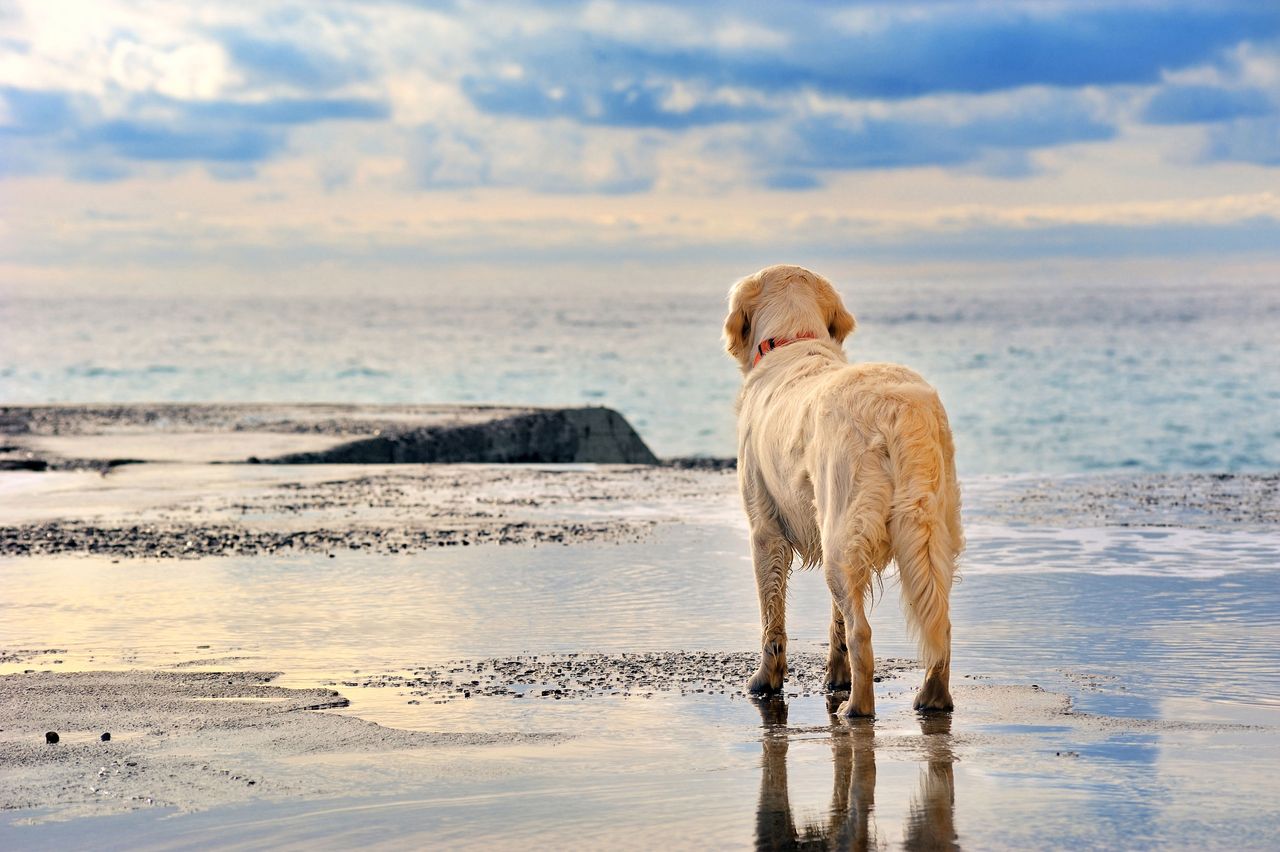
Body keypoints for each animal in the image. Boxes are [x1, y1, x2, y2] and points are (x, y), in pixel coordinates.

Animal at [721, 262, 962, 711]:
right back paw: (932, 696)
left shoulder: (764, 527)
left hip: (843, 527)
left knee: (862, 633)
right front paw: (836, 677)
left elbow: (772, 616)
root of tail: (897, 408)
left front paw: (766, 681)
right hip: (929, 528)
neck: (794, 341)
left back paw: (858, 709)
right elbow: (835, 619)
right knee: (939, 621)